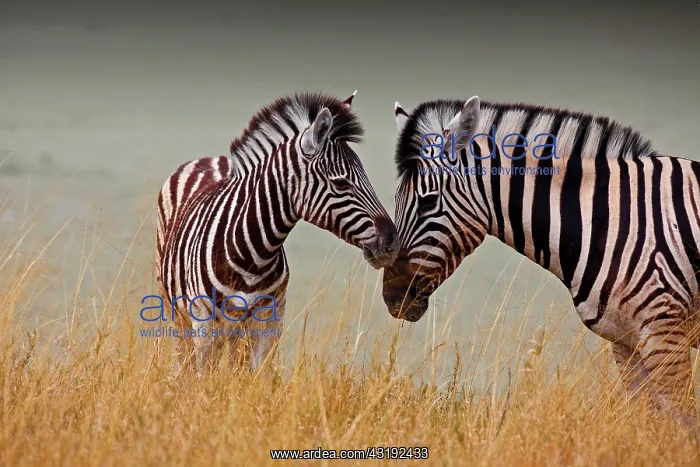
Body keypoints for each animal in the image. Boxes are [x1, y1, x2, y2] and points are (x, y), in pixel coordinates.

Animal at [156, 90, 399, 372]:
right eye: (341, 183)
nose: (392, 243)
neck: (253, 255)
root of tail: (211, 158)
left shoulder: (270, 320)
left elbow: (254, 376)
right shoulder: (204, 323)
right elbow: (203, 376)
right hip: (178, 312)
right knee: (183, 360)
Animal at [381, 95, 700, 434]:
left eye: (428, 202)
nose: (391, 297)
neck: (605, 220)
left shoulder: (665, 332)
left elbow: (683, 423)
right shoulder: (625, 341)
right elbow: (647, 423)